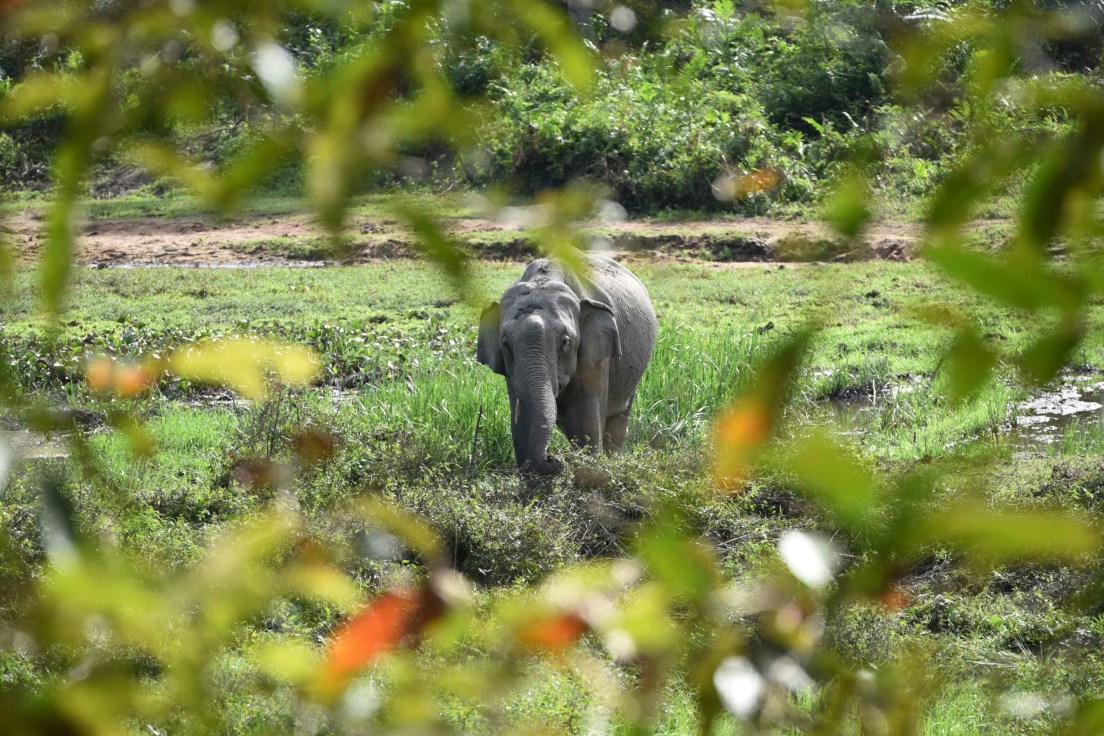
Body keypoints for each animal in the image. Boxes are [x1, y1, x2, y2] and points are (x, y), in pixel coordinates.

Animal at [474, 254, 653, 478]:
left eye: (565, 342)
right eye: (506, 344)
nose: (553, 458)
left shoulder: (595, 354)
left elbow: (585, 421)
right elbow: (521, 417)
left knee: (618, 421)